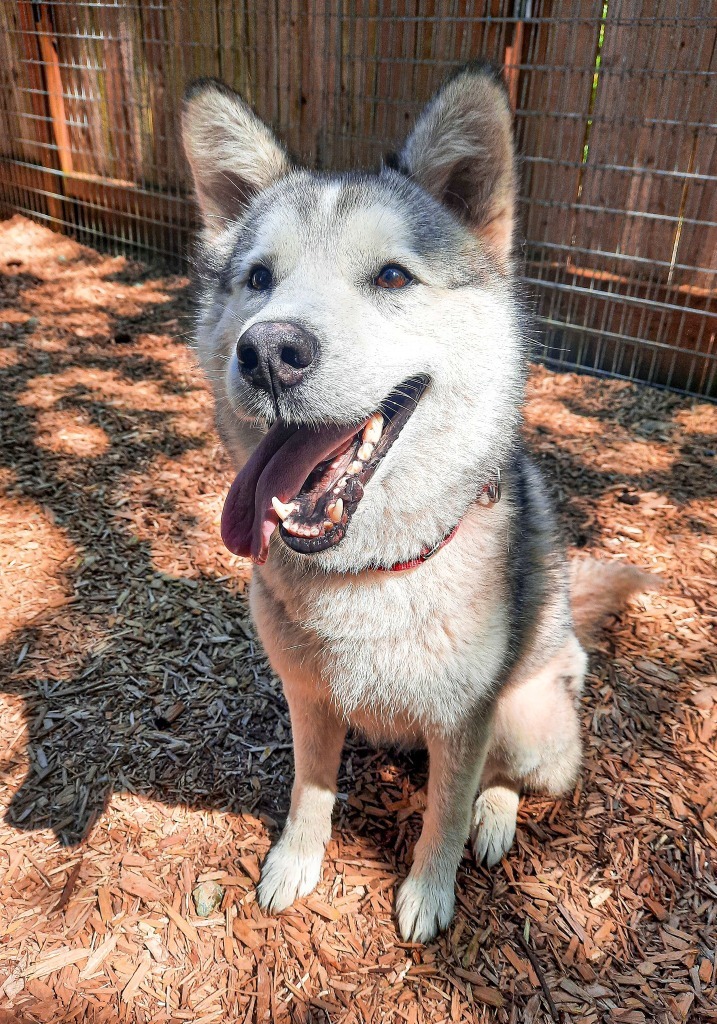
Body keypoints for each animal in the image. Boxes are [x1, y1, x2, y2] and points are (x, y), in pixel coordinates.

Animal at [180, 66, 651, 942]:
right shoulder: (307, 698)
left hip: (529, 717)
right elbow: (308, 789)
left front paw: (430, 892)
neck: (372, 568)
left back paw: (495, 821)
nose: (268, 351)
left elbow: (445, 809)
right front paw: (295, 863)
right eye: (258, 278)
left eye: (392, 277)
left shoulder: (467, 719)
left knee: (508, 779)